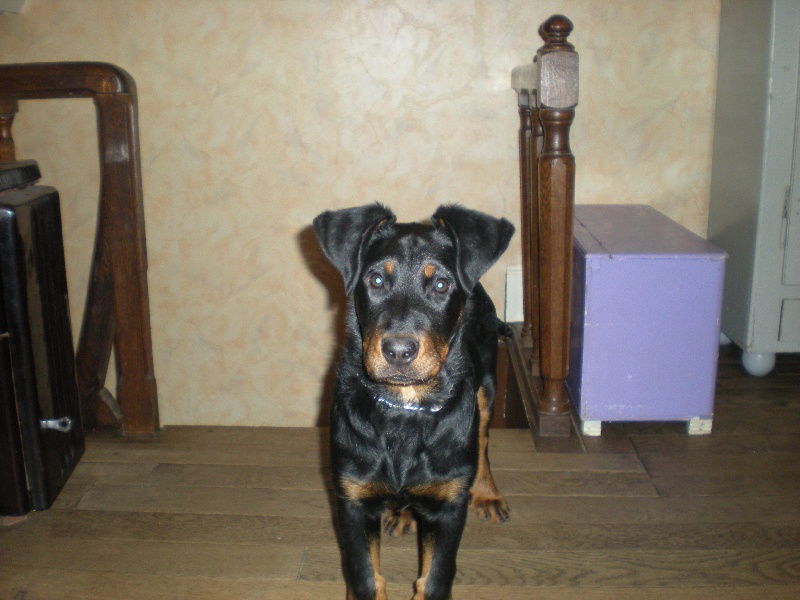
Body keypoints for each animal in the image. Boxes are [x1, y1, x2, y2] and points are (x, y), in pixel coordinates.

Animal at [313, 203, 514, 600]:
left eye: (441, 285)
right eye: (376, 281)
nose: (398, 351)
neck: (405, 408)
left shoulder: (449, 504)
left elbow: (434, 579)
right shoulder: (352, 497)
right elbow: (365, 577)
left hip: (485, 386)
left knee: (483, 439)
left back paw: (488, 494)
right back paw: (403, 512)